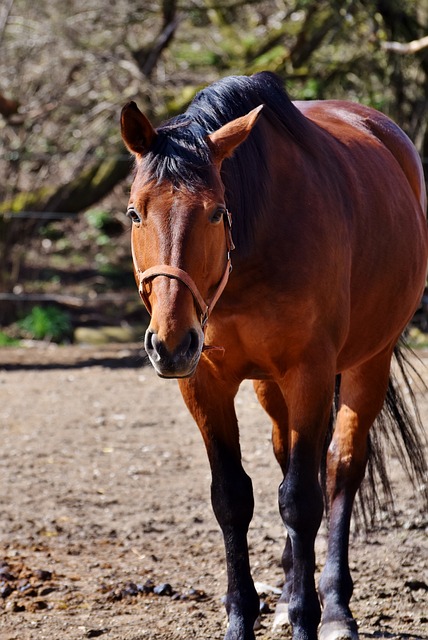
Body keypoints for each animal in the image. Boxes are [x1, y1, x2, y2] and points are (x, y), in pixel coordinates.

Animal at [121, 71, 428, 640]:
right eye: (135, 212)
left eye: (217, 212)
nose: (170, 342)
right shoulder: (205, 383)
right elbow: (232, 498)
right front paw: (243, 618)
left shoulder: (309, 373)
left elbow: (301, 499)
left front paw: (310, 616)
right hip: (269, 385)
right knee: (290, 457)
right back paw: (286, 596)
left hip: (367, 363)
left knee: (340, 469)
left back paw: (334, 607)